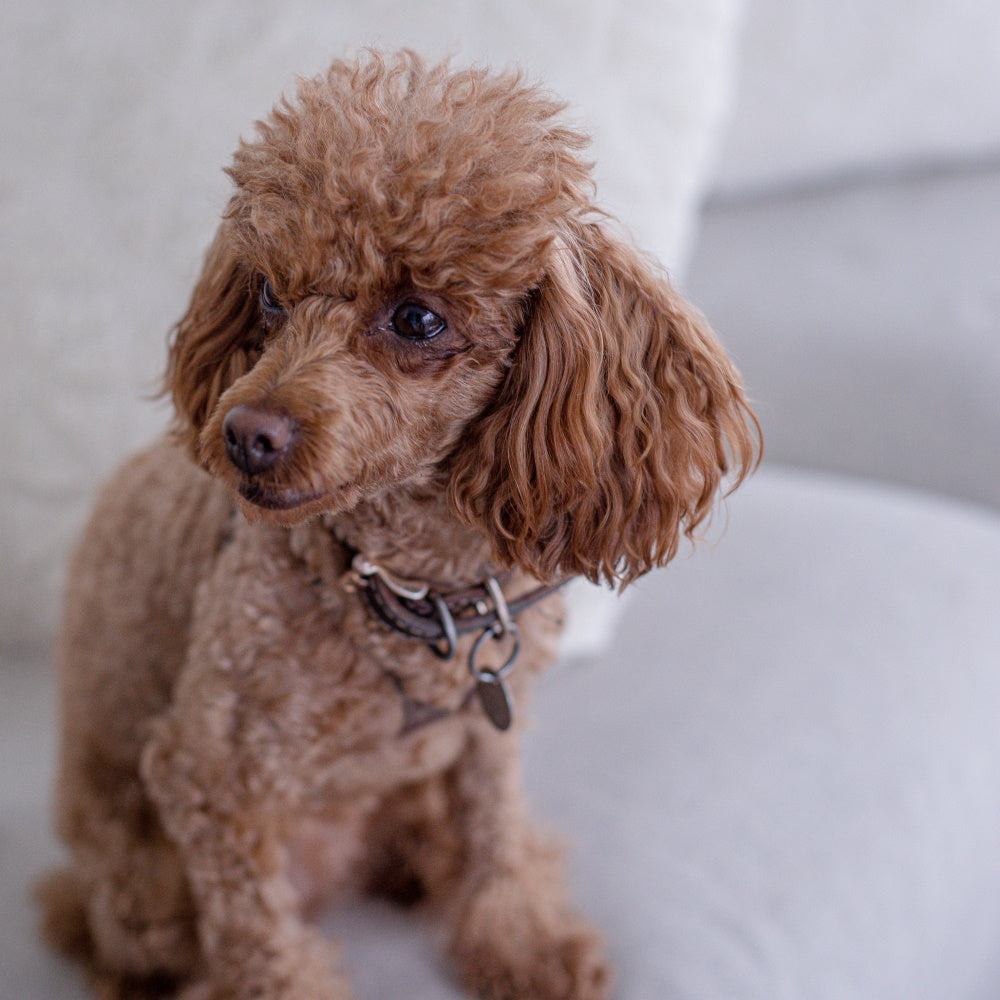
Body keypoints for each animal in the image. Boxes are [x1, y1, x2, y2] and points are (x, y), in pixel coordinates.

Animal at [37, 50, 756, 996]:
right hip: (141, 883)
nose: (244, 435)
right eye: (268, 295)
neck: (411, 589)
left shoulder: (491, 726)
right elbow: (258, 940)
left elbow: (495, 828)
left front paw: (521, 936)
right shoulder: (208, 775)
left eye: (418, 317)